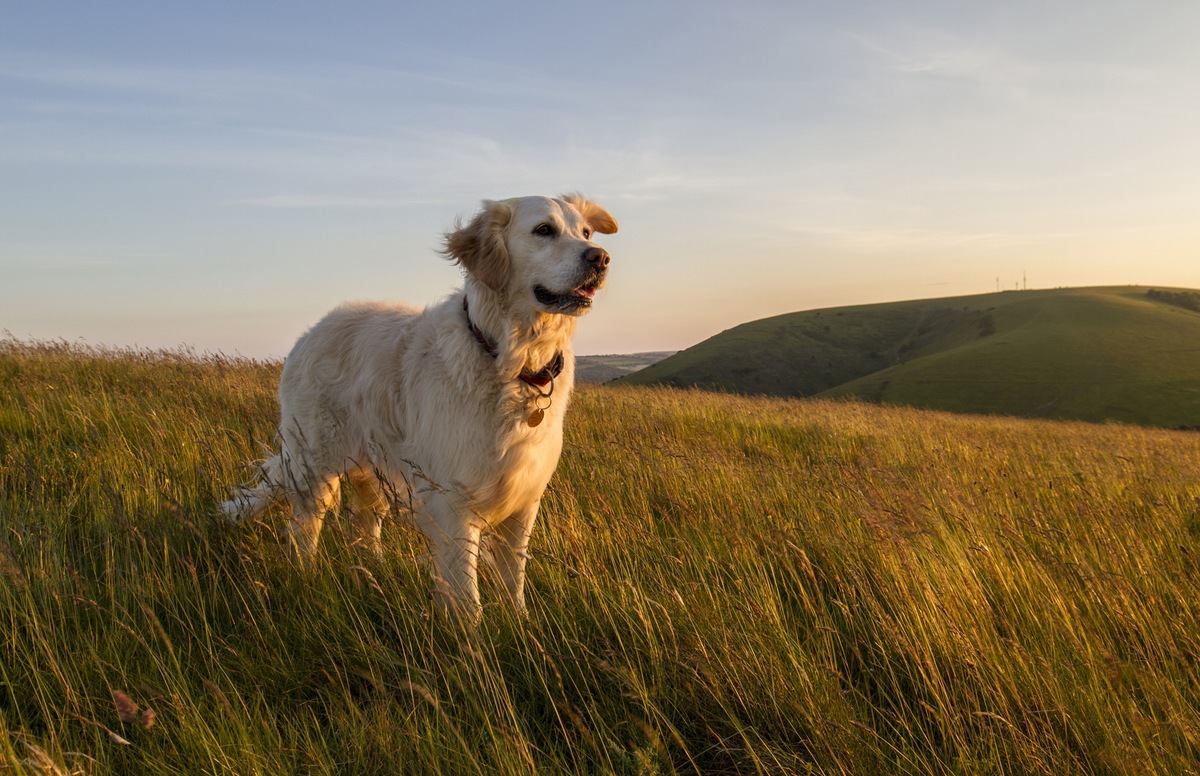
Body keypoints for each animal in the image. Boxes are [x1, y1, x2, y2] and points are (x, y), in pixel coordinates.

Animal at [225, 197, 619, 623]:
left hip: (371, 471)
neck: (511, 361)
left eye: (585, 232)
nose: (600, 257)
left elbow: (513, 581)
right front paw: (473, 640)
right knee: (303, 530)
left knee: (363, 528)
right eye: (543, 230)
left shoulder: (523, 502)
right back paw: (308, 580)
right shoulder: (452, 503)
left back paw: (374, 576)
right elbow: (467, 598)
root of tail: (311, 332)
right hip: (315, 466)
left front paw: (520, 626)